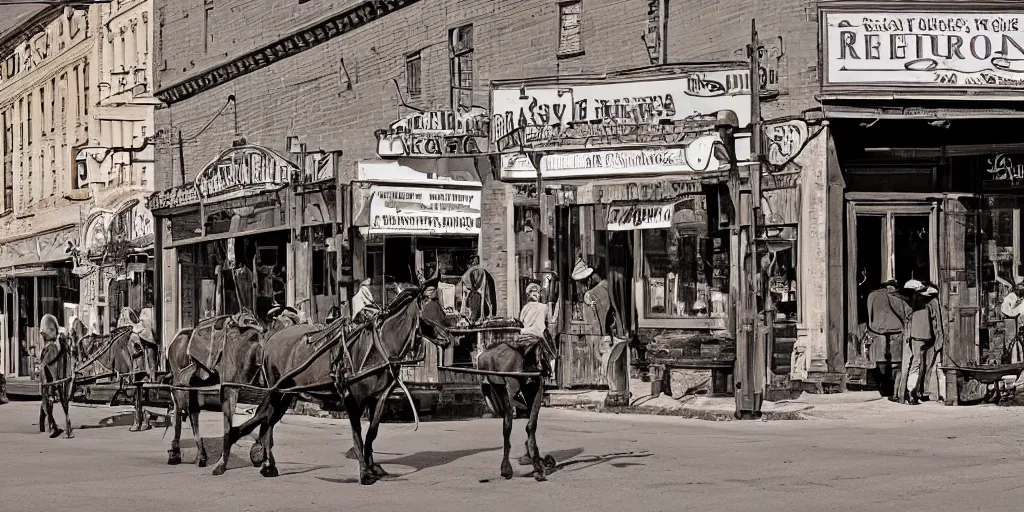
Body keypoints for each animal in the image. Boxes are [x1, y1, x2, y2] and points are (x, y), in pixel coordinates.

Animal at [215, 280, 452, 483]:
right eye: (429, 303)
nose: (450, 339)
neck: (378, 348)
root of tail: (271, 339)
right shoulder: (352, 398)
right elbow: (357, 435)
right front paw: (364, 473)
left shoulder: (378, 398)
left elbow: (372, 434)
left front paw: (373, 467)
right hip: (277, 391)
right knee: (266, 420)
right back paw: (238, 455)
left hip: (287, 393)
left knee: (267, 421)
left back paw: (264, 463)